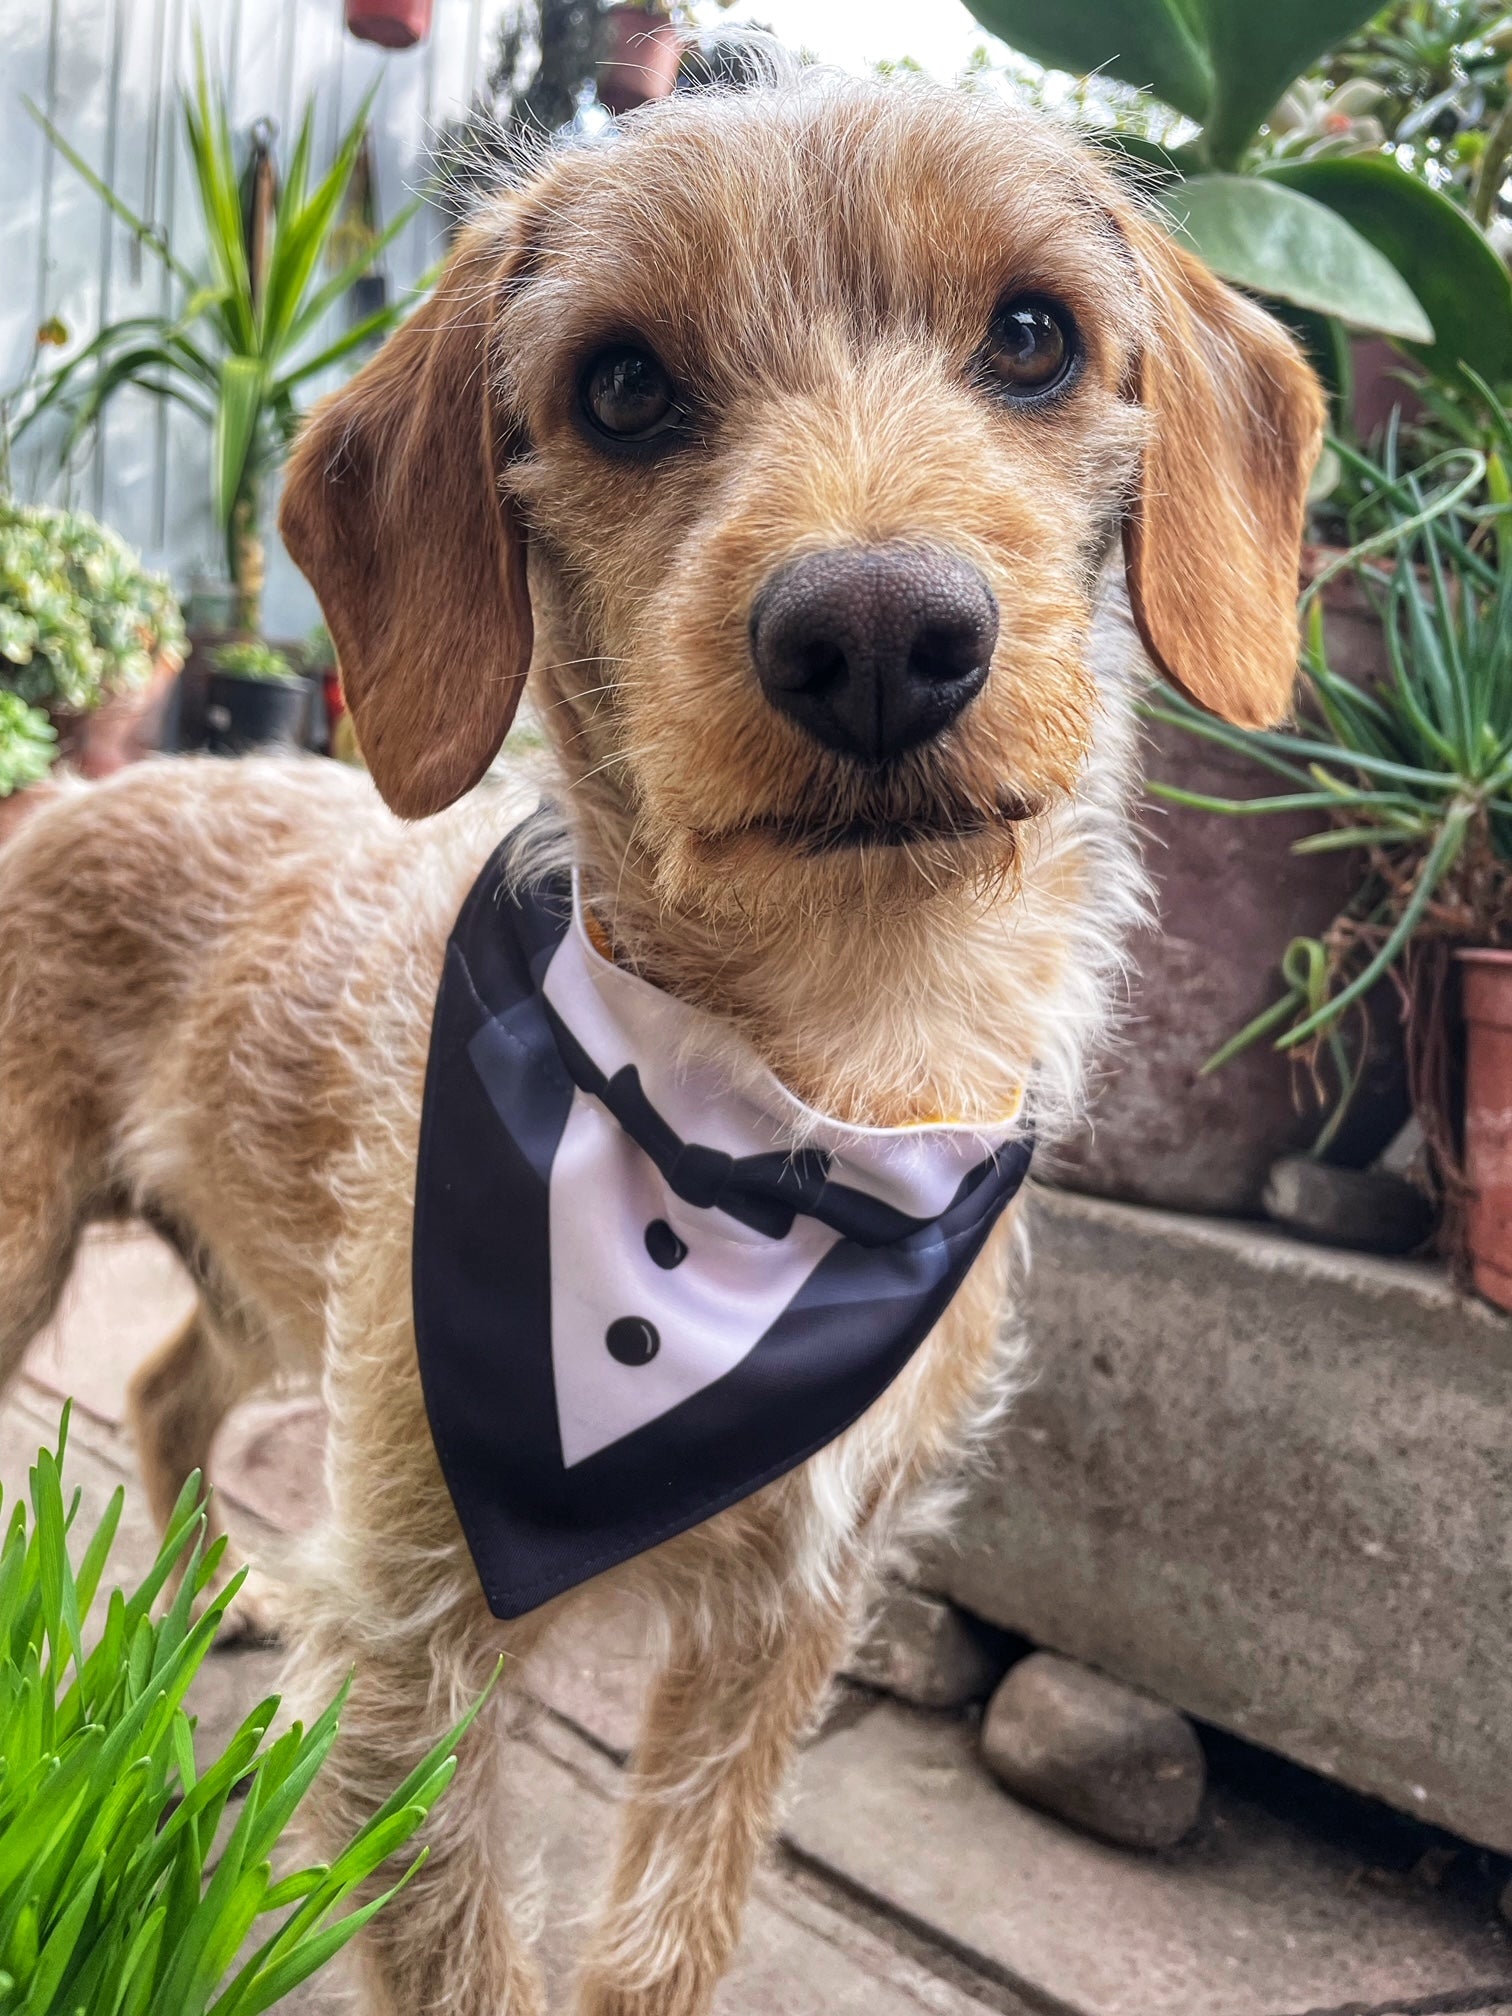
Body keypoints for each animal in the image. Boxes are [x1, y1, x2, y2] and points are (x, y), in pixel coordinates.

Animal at [0, 67, 1322, 2016]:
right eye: (620, 385)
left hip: (256, 1275)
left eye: (1032, 337)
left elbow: (667, 1927)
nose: (877, 634)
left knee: (166, 1388)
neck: (786, 1118)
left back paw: (212, 1599)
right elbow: (463, 1947)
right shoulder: (407, 1638)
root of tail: (72, 799)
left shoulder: (786, 1619)